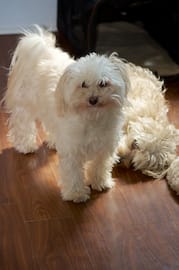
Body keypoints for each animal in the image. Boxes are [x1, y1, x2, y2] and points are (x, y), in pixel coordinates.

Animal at [4, 26, 179, 201]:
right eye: (83, 84)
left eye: (103, 83)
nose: (93, 99)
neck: (94, 117)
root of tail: (42, 48)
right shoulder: (73, 151)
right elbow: (74, 174)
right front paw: (76, 194)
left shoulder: (104, 148)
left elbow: (99, 167)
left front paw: (99, 183)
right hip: (25, 106)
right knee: (22, 125)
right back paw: (26, 146)